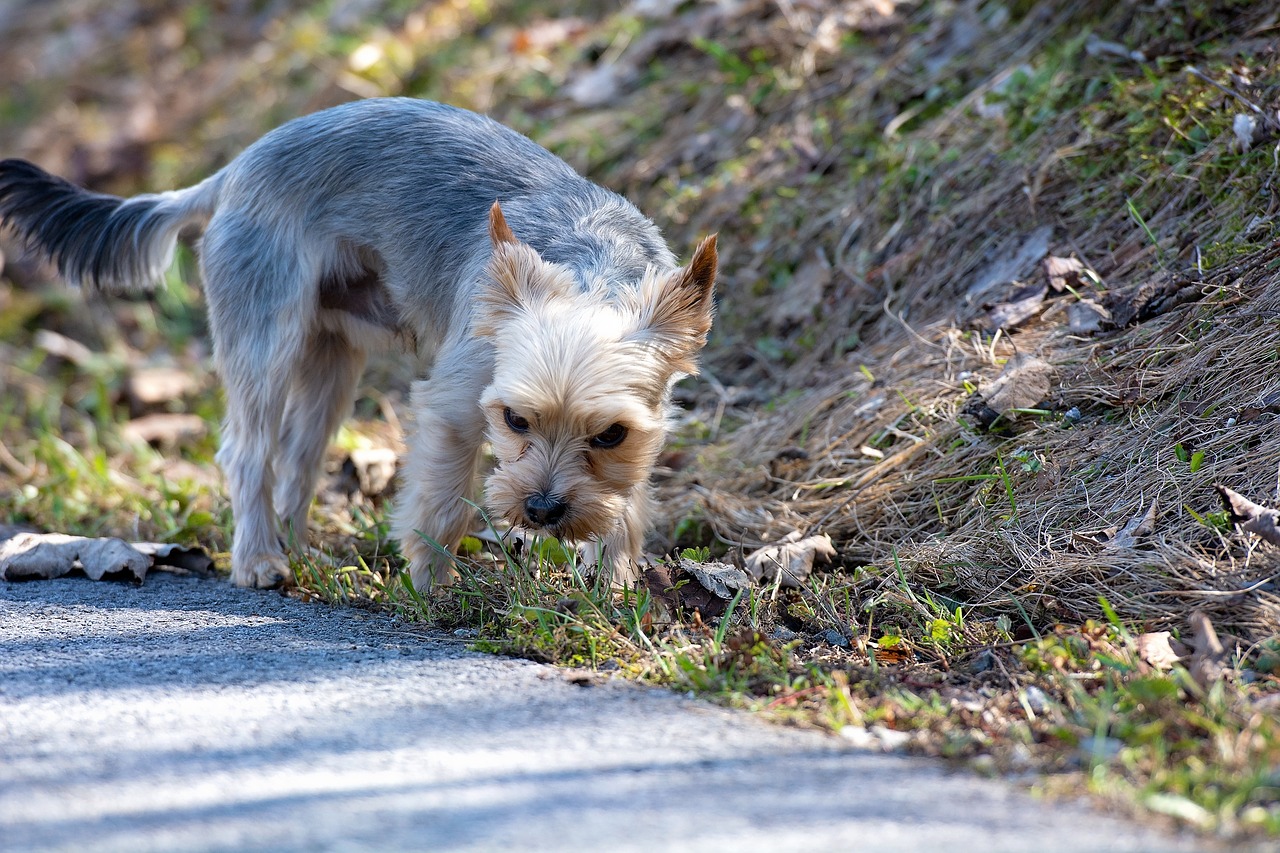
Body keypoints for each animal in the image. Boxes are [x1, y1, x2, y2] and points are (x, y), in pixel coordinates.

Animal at [0, 97, 716, 591]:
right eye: (515, 420)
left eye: (611, 435)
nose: (540, 510)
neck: (592, 272)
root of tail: (232, 171)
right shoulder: (455, 403)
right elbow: (441, 501)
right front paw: (430, 588)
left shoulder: (647, 423)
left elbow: (627, 503)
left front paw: (613, 588)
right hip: (266, 335)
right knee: (248, 451)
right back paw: (259, 560)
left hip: (332, 355)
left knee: (300, 454)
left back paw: (298, 548)